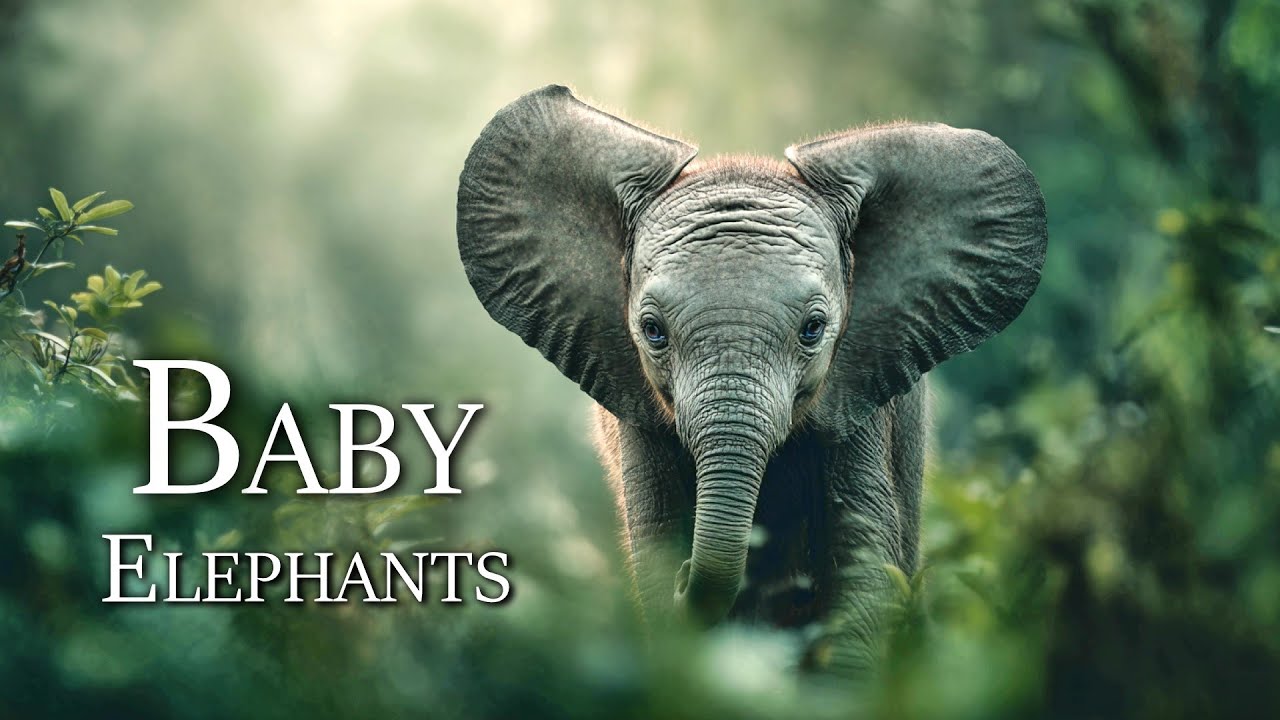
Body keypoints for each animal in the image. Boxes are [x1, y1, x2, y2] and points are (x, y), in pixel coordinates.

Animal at [456, 85, 1046, 673]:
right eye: (652, 331)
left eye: (814, 329)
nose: (689, 578)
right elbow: (657, 545)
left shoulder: (862, 389)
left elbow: (861, 558)